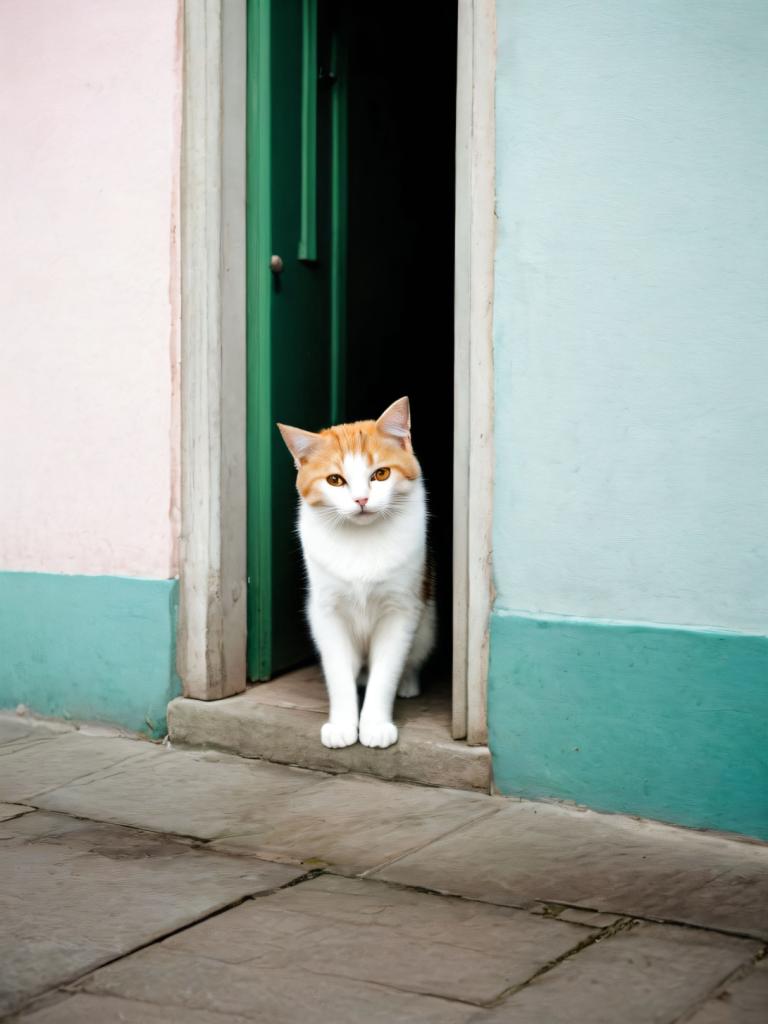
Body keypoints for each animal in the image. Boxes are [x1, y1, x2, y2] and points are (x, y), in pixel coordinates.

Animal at [278, 395, 436, 749]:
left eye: (381, 474)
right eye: (335, 480)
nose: (362, 499)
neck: (361, 539)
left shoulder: (401, 611)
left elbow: (385, 673)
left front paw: (375, 724)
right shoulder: (326, 612)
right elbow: (338, 674)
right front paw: (342, 724)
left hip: (426, 625)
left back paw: (408, 683)